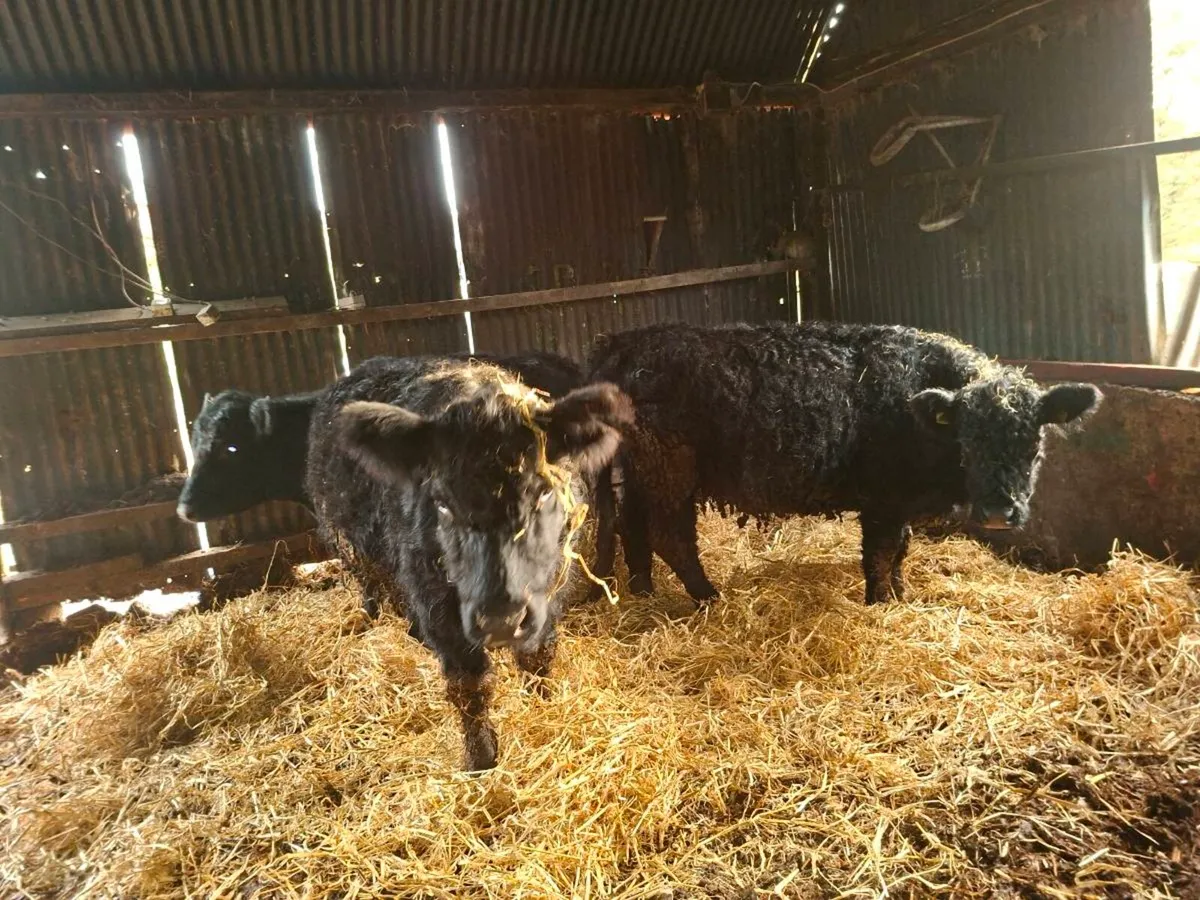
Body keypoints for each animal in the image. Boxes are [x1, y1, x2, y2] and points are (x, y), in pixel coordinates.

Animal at [305, 355, 633, 770]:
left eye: (544, 493)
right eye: (443, 504)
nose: (500, 620)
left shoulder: (550, 591)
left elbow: (538, 657)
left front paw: (543, 706)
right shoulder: (437, 604)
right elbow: (469, 684)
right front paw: (481, 759)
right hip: (349, 545)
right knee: (373, 587)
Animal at [588, 321, 1101, 607]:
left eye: (1033, 442)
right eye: (968, 441)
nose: (997, 512)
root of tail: (623, 342)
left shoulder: (899, 503)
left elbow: (900, 550)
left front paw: (900, 593)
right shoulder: (883, 499)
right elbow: (880, 553)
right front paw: (880, 603)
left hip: (640, 471)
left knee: (631, 526)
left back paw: (644, 592)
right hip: (669, 468)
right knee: (669, 536)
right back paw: (710, 598)